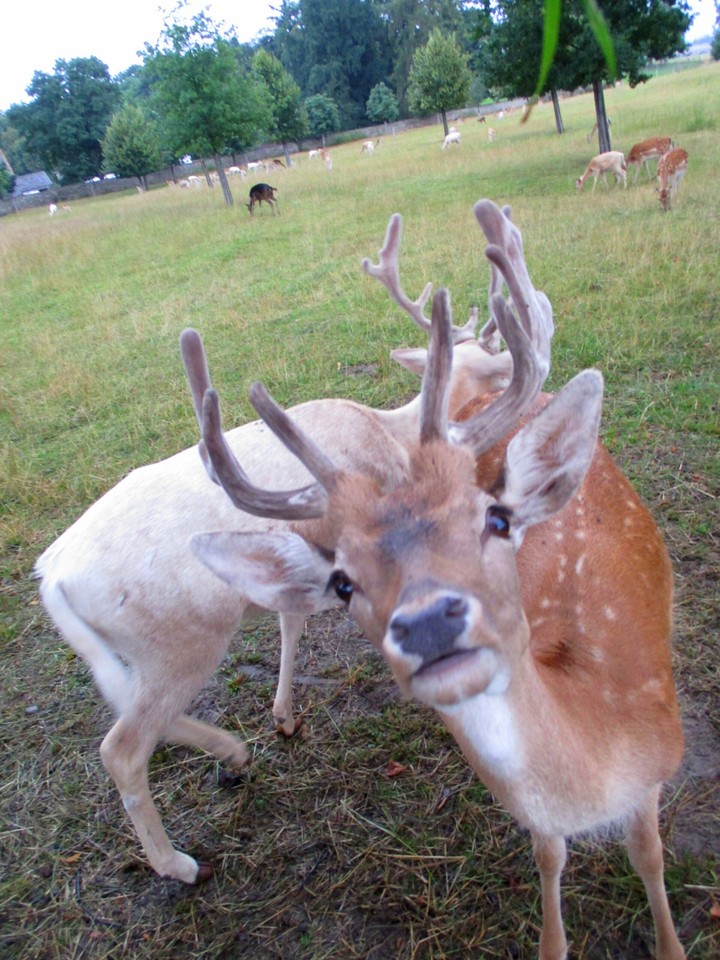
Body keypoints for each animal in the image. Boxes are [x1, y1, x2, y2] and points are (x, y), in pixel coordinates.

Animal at [34, 212, 519, 885]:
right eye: (489, 357)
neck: (388, 431)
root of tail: (51, 576)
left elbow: (292, 620)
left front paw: (285, 716)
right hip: (179, 639)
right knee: (121, 747)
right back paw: (179, 863)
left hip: (136, 649)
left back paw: (231, 751)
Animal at [191, 200, 686, 960]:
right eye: (343, 581)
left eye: (497, 519)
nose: (427, 623)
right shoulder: (542, 820)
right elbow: (548, 858)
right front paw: (552, 940)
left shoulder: (662, 755)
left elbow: (651, 856)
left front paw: (670, 941)